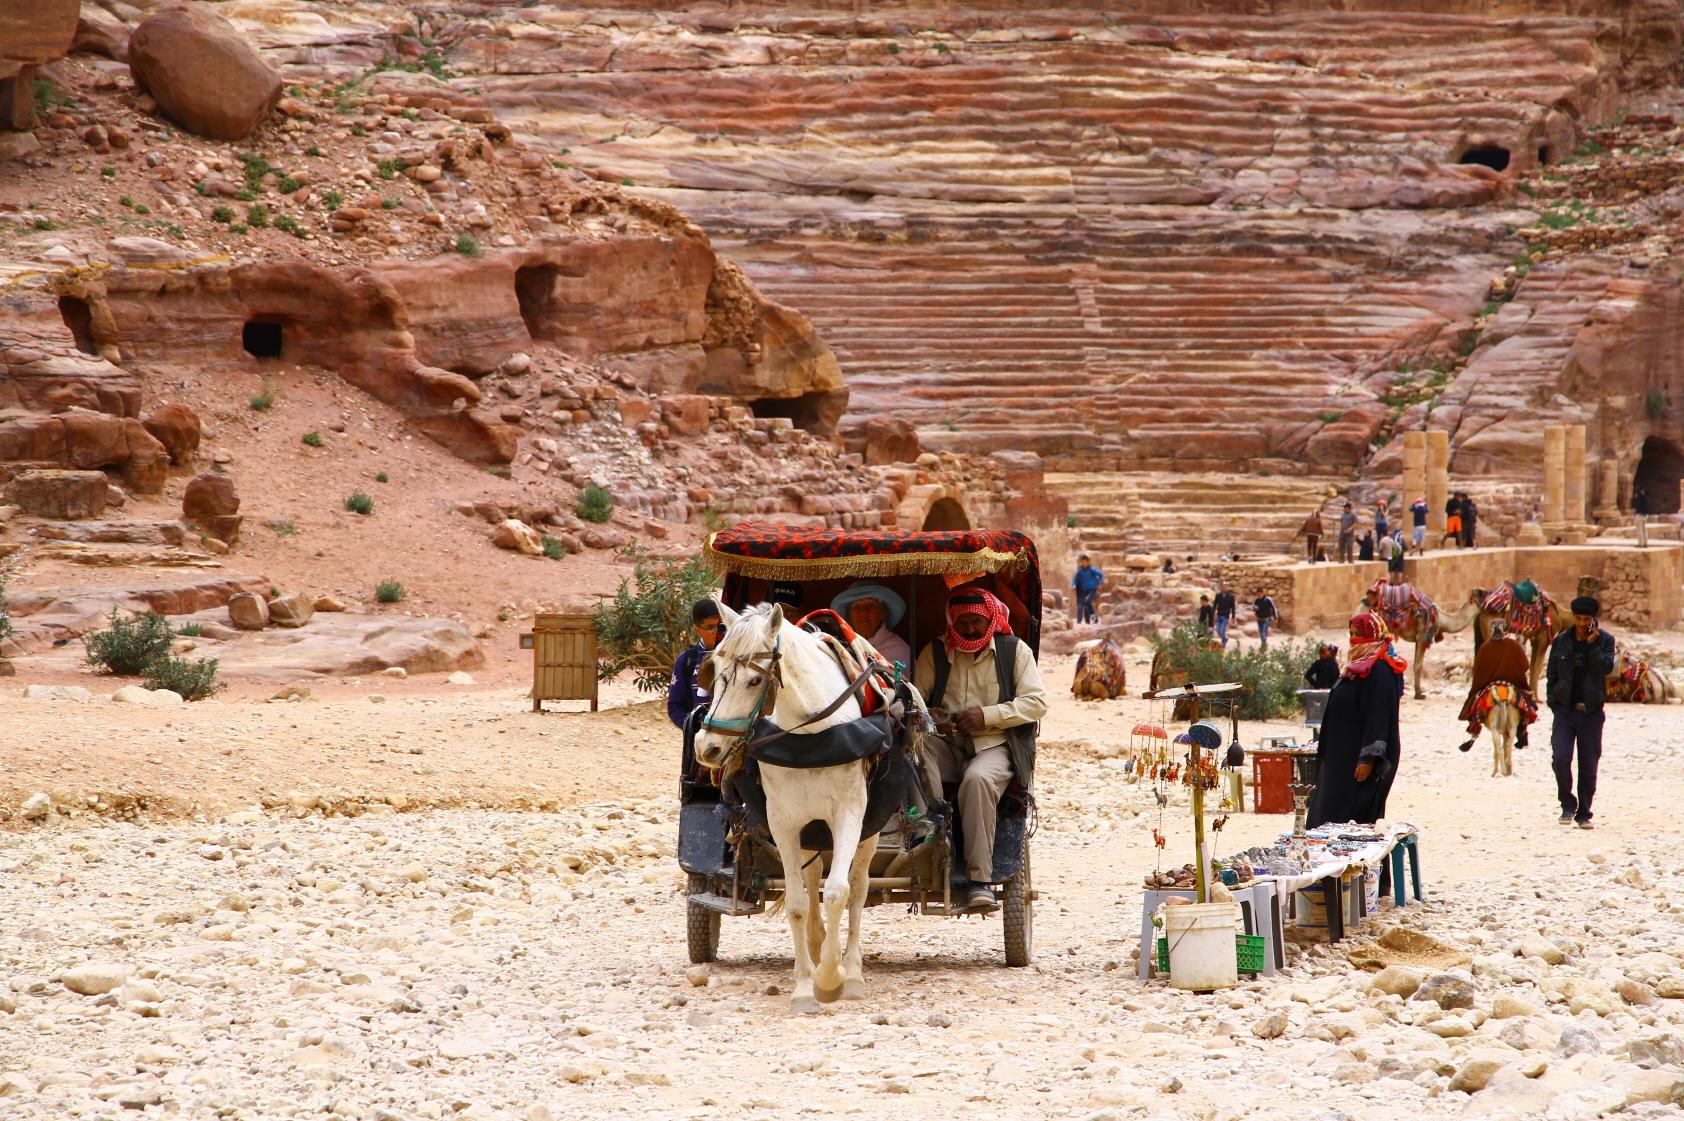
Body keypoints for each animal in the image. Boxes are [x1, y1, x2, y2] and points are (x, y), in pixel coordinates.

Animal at [693, 602, 882, 1009]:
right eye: (717, 674)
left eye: (754, 681)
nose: (707, 747)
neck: (812, 736)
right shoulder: (784, 823)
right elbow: (798, 902)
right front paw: (805, 986)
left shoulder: (849, 815)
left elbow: (839, 893)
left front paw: (831, 977)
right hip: (810, 830)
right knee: (813, 882)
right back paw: (816, 943)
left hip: (869, 829)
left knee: (859, 888)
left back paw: (852, 971)